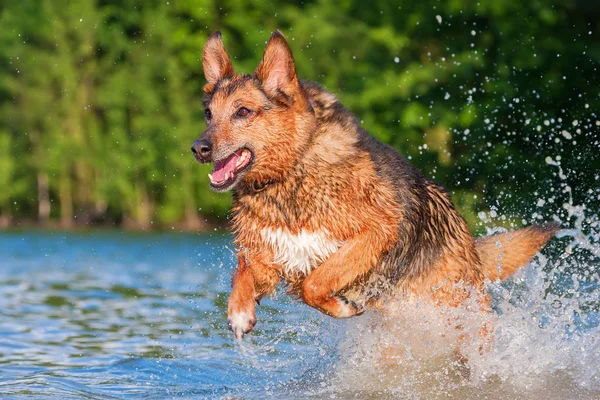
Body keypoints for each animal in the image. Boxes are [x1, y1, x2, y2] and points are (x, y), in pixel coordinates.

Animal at [191, 29, 556, 340]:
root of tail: (469, 244)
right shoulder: (270, 257)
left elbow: (316, 282)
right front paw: (239, 311)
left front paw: (340, 306)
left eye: (242, 112)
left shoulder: (375, 232)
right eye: (209, 114)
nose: (198, 148)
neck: (291, 173)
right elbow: (243, 270)